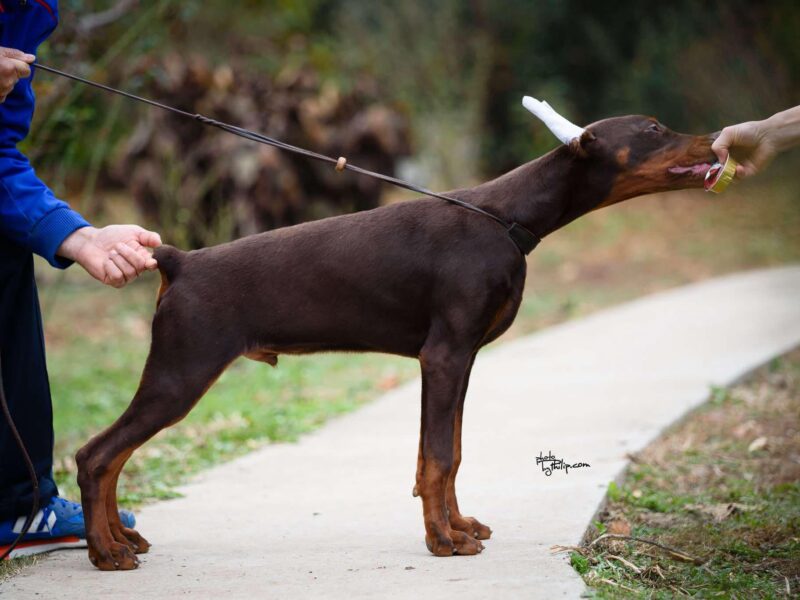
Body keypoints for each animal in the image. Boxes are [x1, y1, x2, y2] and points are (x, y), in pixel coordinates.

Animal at [73, 115, 712, 568]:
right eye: (654, 129)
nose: (712, 141)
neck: (505, 218)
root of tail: (180, 260)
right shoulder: (445, 356)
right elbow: (439, 456)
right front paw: (442, 541)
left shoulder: (463, 360)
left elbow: (450, 452)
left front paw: (459, 526)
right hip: (182, 371)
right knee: (97, 455)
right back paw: (107, 551)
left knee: (111, 457)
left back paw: (122, 538)